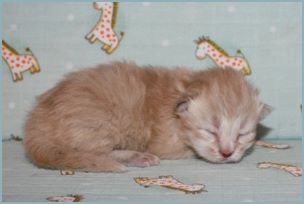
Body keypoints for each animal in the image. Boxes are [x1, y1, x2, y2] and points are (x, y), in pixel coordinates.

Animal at [22, 61, 272, 172]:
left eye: (243, 134)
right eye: (211, 130)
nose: (227, 153)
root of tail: (36, 122)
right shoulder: (166, 144)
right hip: (100, 123)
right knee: (93, 152)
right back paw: (137, 157)